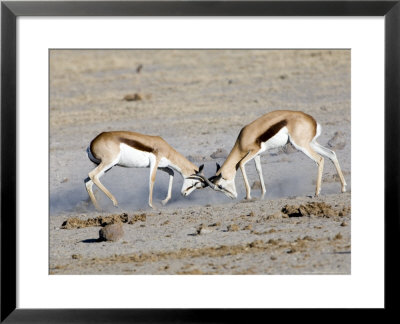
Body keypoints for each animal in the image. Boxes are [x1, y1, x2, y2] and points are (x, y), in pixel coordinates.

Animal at [192, 110, 346, 199]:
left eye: (220, 186)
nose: (233, 196)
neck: (243, 138)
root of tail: (313, 121)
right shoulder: (257, 154)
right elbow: (259, 170)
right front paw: (263, 193)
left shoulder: (253, 151)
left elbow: (240, 164)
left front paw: (248, 196)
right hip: (311, 143)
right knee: (331, 154)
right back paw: (343, 187)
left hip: (301, 146)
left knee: (319, 159)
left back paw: (317, 192)